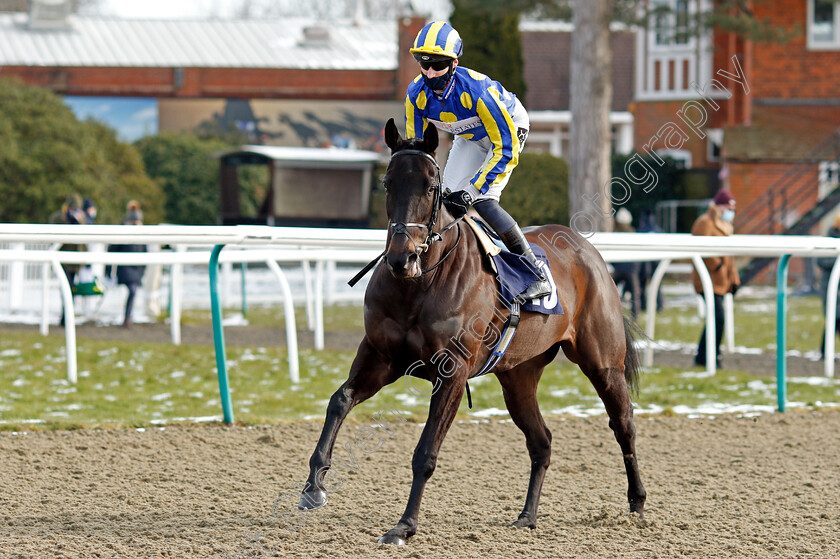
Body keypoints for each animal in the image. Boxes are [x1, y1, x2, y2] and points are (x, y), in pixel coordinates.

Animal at [298, 119, 648, 548]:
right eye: (387, 182)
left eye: (431, 187)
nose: (401, 258)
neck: (419, 285)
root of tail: (587, 249)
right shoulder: (381, 357)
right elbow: (339, 401)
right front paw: (314, 486)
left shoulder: (452, 372)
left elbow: (425, 452)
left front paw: (404, 526)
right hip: (518, 377)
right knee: (541, 441)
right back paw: (527, 516)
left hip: (603, 363)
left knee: (623, 425)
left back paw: (636, 503)